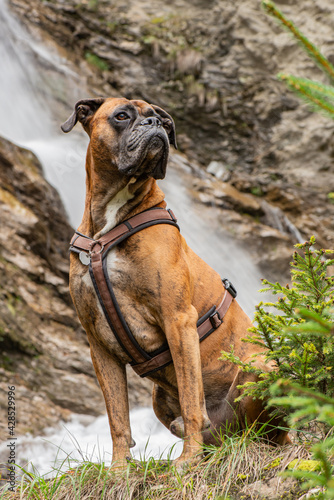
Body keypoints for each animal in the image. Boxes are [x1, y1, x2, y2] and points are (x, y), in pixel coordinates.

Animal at [62, 97, 290, 468]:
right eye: (121, 116)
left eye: (163, 121)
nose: (154, 123)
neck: (109, 225)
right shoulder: (98, 344)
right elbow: (117, 417)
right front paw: (120, 468)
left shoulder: (178, 321)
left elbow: (191, 398)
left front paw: (188, 458)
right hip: (159, 397)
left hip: (262, 370)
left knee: (266, 435)